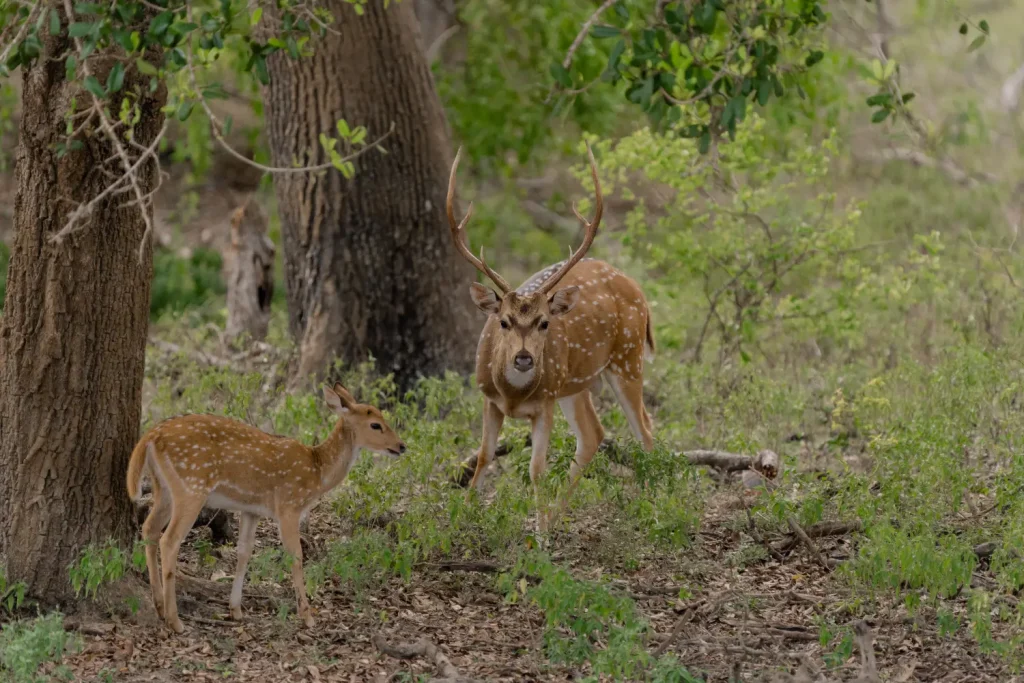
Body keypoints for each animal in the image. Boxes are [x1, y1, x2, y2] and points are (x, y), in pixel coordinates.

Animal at [126, 383, 406, 634]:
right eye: (376, 424)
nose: (402, 446)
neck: (317, 471)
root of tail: (151, 436)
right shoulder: (288, 506)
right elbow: (296, 555)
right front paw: (307, 617)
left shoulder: (252, 509)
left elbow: (244, 551)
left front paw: (235, 609)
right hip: (191, 486)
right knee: (169, 540)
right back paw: (175, 621)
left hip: (164, 488)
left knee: (150, 528)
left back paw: (159, 605)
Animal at [446, 143, 655, 536]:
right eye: (504, 322)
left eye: (544, 323)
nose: (524, 358)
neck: (513, 395)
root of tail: (636, 287)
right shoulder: (487, 398)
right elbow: (483, 456)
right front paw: (463, 515)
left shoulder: (544, 403)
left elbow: (536, 469)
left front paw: (539, 534)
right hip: (575, 383)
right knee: (594, 434)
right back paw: (561, 514)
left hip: (627, 356)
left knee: (645, 430)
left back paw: (653, 508)